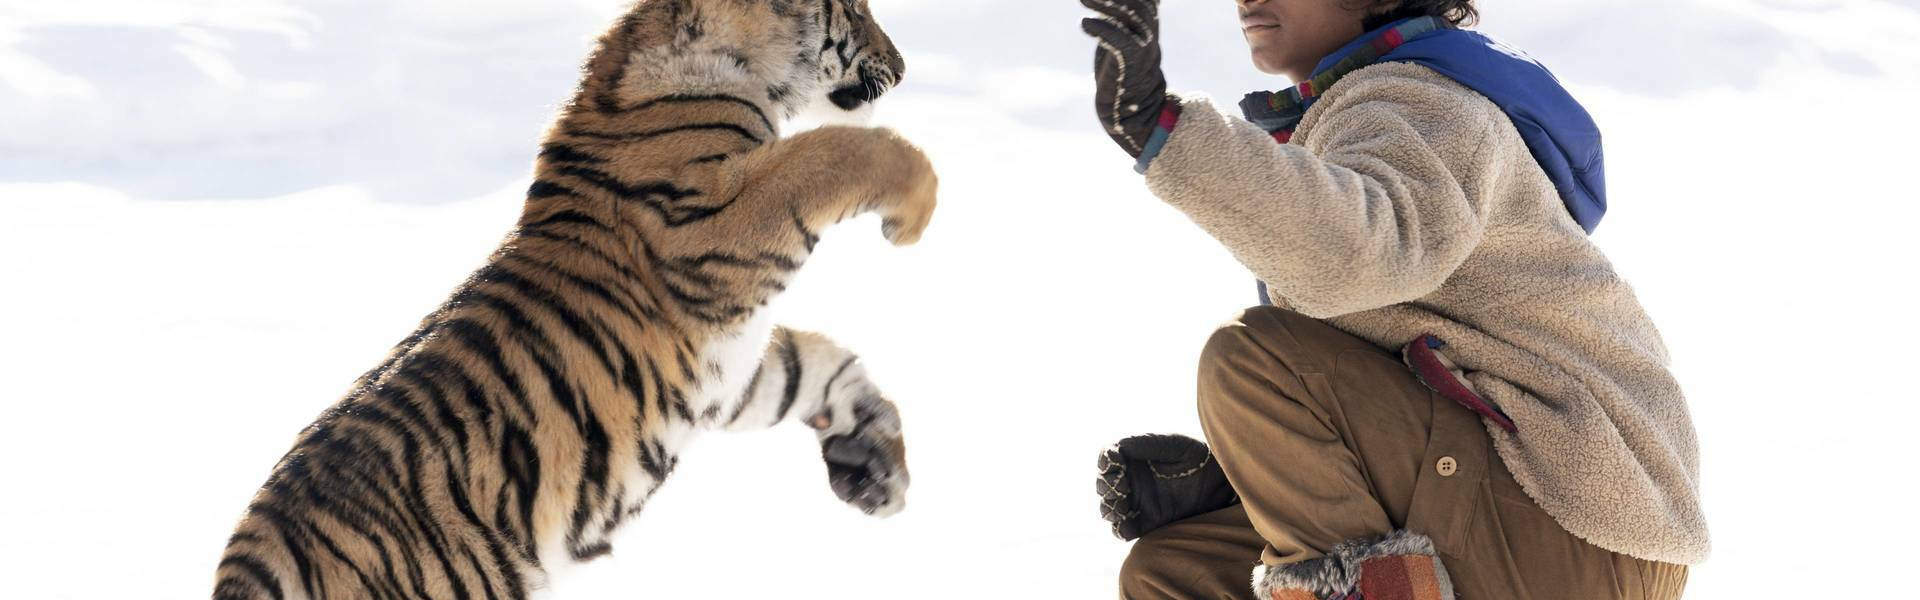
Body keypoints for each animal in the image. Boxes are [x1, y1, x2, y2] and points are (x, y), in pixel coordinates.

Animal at [211, 1, 934, 598]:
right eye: (855, 8)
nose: (901, 70)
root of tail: (251, 562)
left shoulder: (730, 372)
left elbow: (815, 368)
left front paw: (875, 462)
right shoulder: (715, 220)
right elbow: (842, 151)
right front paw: (914, 214)